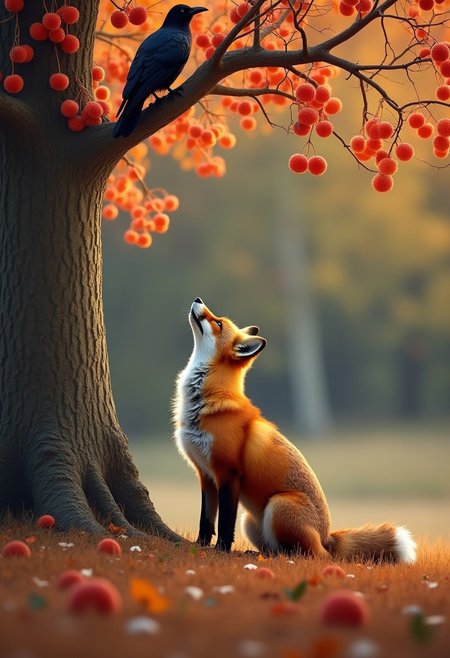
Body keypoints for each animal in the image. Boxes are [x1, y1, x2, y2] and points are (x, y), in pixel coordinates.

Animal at [174, 297, 417, 562]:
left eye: (218, 323)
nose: (198, 299)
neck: (204, 402)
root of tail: (327, 537)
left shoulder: (229, 473)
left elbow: (225, 523)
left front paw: (221, 550)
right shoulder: (206, 475)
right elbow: (206, 521)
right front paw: (199, 545)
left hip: (278, 504)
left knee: (313, 556)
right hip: (250, 520)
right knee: (278, 549)